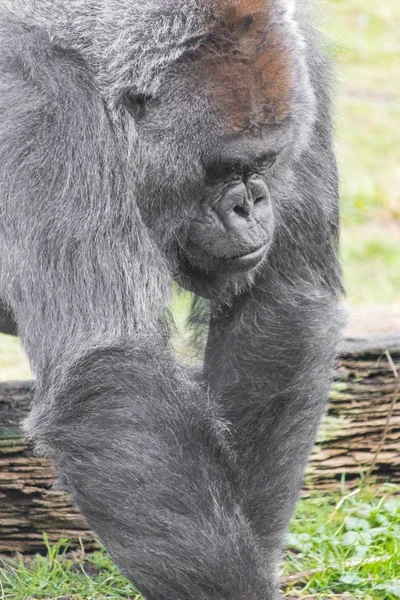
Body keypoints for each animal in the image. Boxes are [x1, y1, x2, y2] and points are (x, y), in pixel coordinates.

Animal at [0, 1, 344, 600]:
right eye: (224, 169)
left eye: (264, 162)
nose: (252, 206)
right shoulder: (44, 106)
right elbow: (111, 374)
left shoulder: (305, 65)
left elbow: (280, 309)